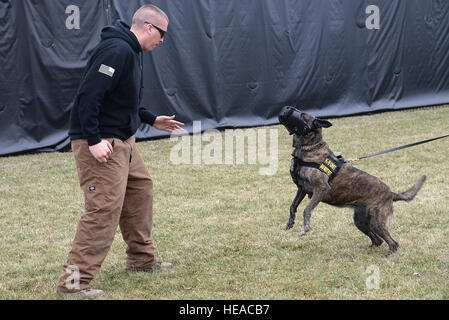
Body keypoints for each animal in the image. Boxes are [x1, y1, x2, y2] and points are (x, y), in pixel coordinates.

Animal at [286, 112, 426, 255]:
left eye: (303, 115)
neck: (310, 148)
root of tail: (391, 193)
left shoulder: (321, 188)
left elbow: (307, 209)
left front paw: (305, 226)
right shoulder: (302, 189)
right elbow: (293, 206)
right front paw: (290, 222)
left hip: (377, 222)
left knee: (393, 242)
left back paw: (388, 254)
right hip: (360, 221)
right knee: (378, 240)